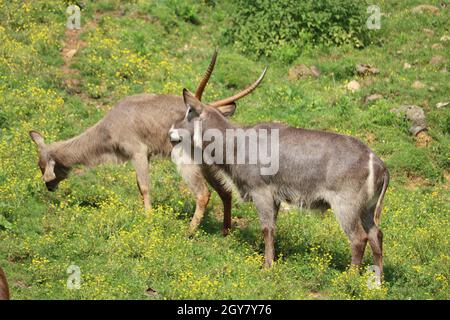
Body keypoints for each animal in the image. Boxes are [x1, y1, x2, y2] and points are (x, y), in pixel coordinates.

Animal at [29, 50, 264, 235]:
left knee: (203, 194)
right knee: (225, 191)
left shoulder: (138, 153)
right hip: (208, 165)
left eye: (42, 166)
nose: (48, 186)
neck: (110, 126)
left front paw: (149, 219)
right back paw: (225, 232)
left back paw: (189, 233)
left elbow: (144, 187)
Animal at [170, 86, 390, 282]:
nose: (171, 132)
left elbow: (267, 228)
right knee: (376, 235)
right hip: (367, 209)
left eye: (189, 111)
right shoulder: (275, 198)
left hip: (346, 207)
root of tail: (378, 163)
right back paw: (378, 282)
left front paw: (267, 266)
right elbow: (273, 228)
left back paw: (349, 280)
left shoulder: (261, 192)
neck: (237, 143)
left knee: (359, 238)